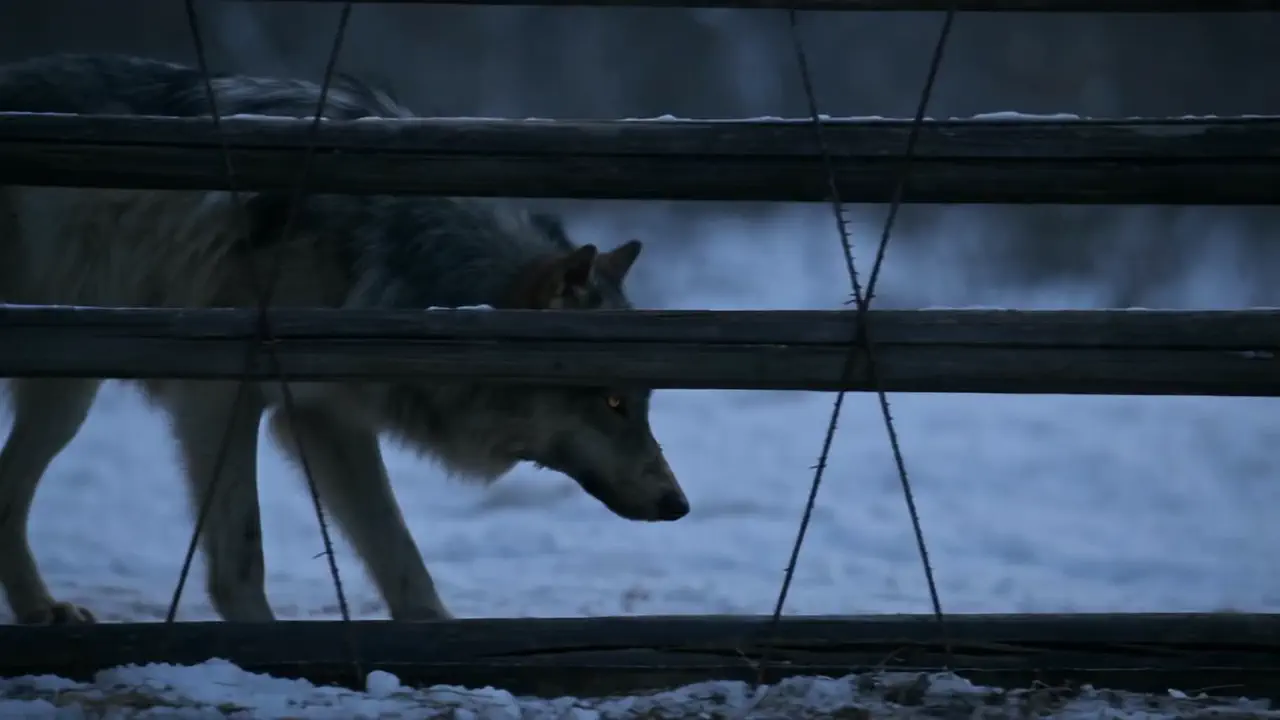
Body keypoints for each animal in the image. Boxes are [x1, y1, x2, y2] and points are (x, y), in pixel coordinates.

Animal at [0, 53, 688, 625]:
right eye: (612, 403)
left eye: (643, 402)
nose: (678, 504)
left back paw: (42, 611)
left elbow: (400, 556)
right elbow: (243, 557)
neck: (391, 250)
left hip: (67, 394)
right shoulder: (221, 397)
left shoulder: (326, 418)